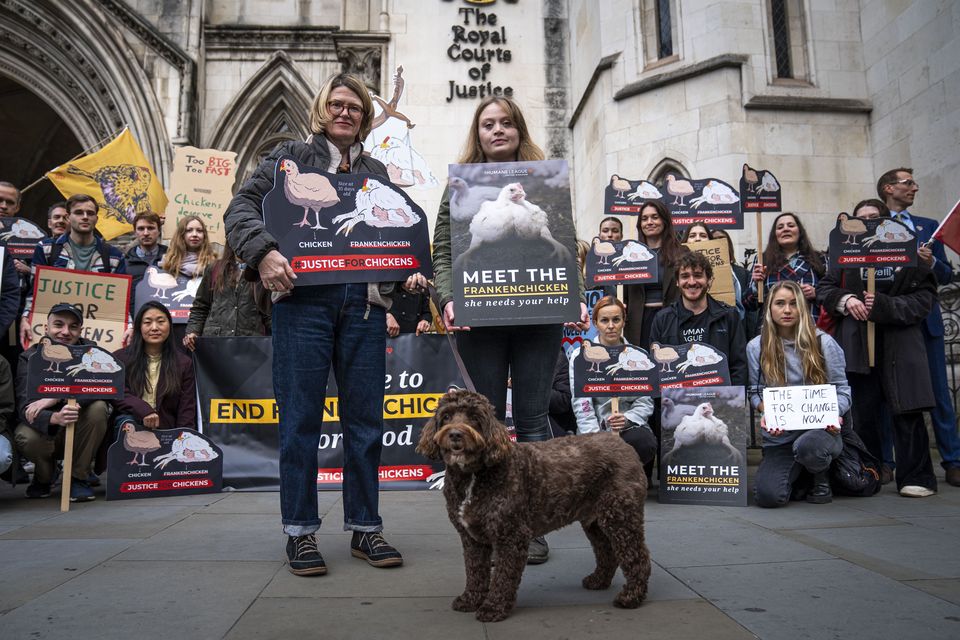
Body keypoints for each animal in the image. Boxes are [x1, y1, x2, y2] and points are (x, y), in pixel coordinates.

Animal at [414, 388, 648, 624]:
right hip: (595, 521)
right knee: (606, 551)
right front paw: (470, 599)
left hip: (621, 516)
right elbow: (475, 571)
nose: (455, 434)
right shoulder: (472, 539)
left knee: (637, 556)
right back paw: (598, 580)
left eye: (474, 417)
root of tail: (622, 444)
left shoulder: (511, 536)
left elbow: (504, 576)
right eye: (446, 416)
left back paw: (631, 597)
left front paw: (493, 607)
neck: (473, 475)